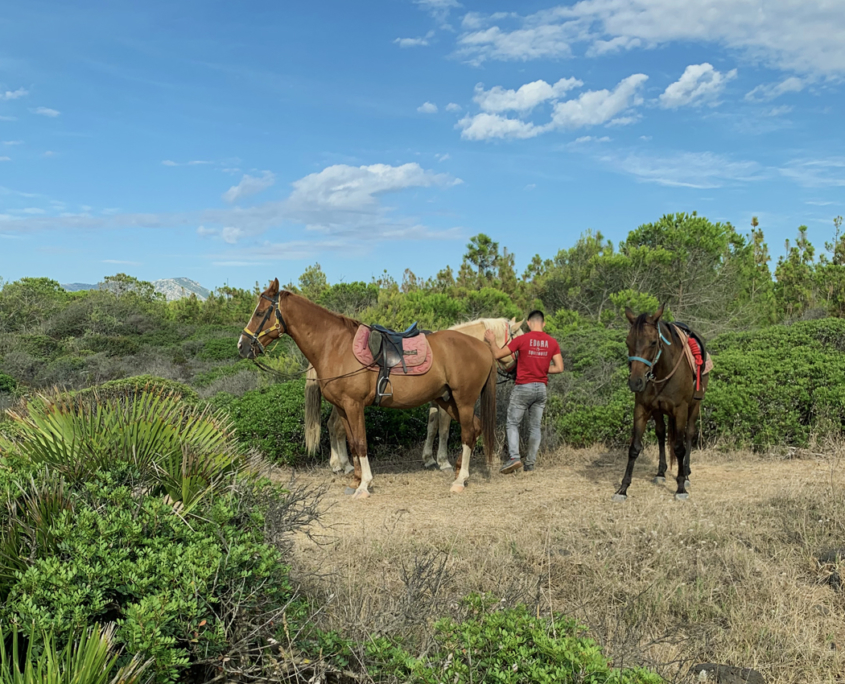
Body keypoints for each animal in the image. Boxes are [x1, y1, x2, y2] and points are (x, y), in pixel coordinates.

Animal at [237, 280, 498, 500]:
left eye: (260, 312)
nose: (242, 346)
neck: (336, 346)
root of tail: (482, 346)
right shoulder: (343, 408)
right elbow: (351, 442)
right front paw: (354, 480)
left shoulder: (354, 405)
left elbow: (361, 443)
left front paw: (364, 486)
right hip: (448, 400)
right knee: (475, 428)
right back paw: (457, 471)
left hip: (463, 401)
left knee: (467, 433)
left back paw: (460, 480)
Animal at [306, 316, 524, 472]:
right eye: (519, 338)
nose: (515, 371)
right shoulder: (447, 400)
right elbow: (444, 429)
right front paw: (443, 461)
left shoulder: (436, 401)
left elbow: (432, 427)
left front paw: (429, 459)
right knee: (337, 428)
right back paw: (344, 465)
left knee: (332, 427)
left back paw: (338, 464)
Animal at [608, 304, 708, 502]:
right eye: (628, 342)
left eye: (653, 342)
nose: (635, 382)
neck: (664, 371)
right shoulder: (642, 408)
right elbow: (634, 448)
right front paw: (623, 488)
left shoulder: (681, 410)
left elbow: (679, 447)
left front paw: (680, 487)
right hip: (658, 411)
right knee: (661, 434)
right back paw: (661, 473)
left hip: (694, 406)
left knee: (689, 435)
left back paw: (686, 474)